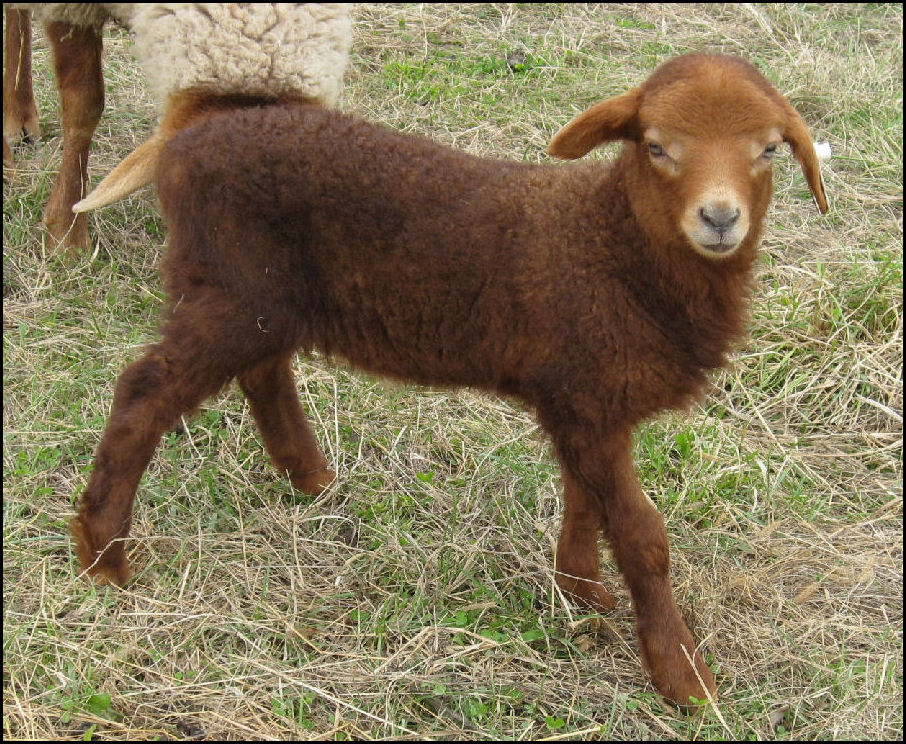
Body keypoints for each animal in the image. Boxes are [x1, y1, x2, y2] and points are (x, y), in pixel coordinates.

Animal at [70, 53, 829, 707]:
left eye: (768, 149)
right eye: (656, 146)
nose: (720, 218)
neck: (612, 246)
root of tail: (191, 136)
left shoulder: (580, 399)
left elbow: (584, 498)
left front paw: (579, 589)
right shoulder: (588, 398)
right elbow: (643, 537)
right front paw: (683, 677)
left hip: (259, 300)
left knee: (261, 374)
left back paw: (310, 478)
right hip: (229, 289)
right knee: (143, 393)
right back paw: (103, 553)